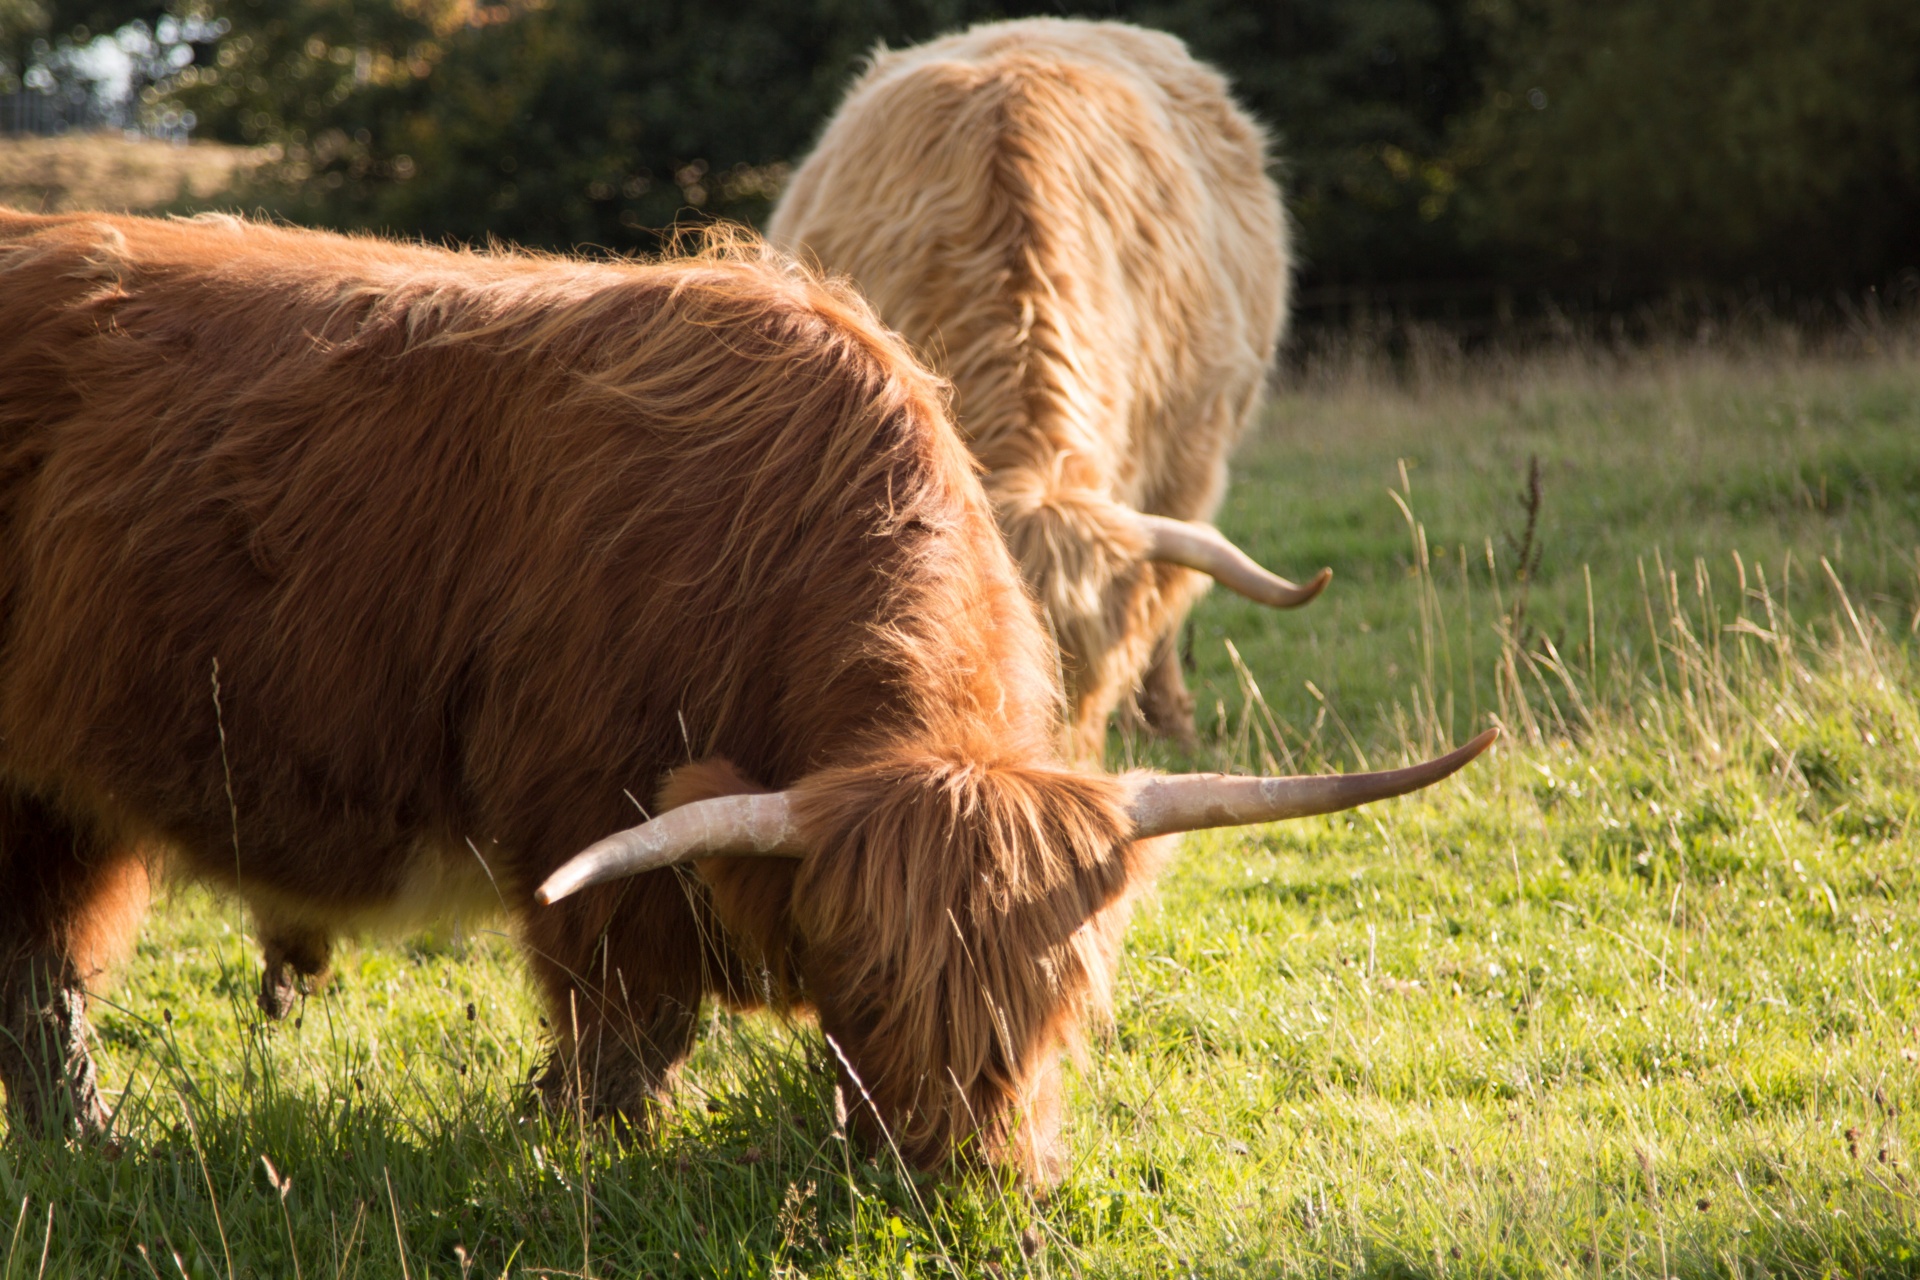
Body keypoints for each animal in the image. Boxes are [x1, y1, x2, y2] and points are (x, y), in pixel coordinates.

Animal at [0, 208, 1482, 1182]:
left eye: (1062, 990)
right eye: (868, 983)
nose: (961, 1175)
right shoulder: (586, 824)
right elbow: (630, 1031)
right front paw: (566, 1143)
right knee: (40, 971)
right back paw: (94, 1146)